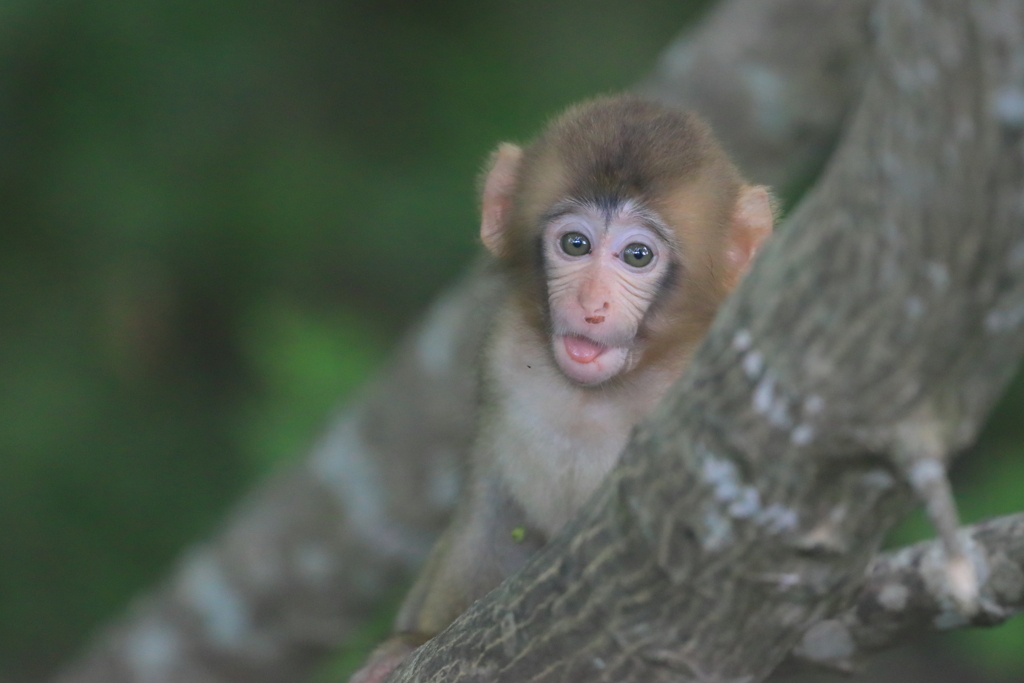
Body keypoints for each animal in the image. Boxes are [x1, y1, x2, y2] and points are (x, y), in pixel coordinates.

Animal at [350, 96, 770, 683]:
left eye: (637, 255)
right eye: (576, 244)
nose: (592, 303)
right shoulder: (503, 353)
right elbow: (494, 508)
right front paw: (411, 641)